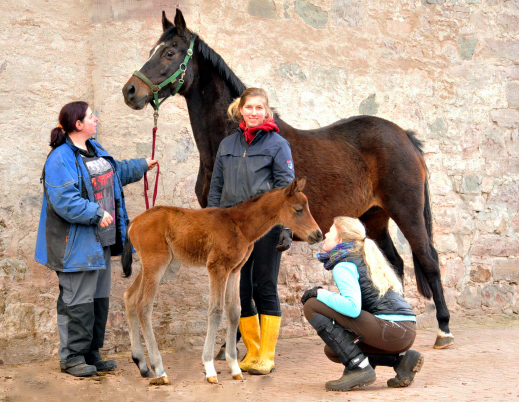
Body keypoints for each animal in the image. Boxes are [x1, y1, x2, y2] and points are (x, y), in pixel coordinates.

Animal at [123, 8, 456, 348]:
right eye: (151, 50)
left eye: (169, 52)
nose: (130, 91)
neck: (238, 139)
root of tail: (405, 137)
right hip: (374, 217)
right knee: (394, 263)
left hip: (406, 211)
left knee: (428, 260)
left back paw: (443, 329)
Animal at [123, 177, 322, 384]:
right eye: (298, 209)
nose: (318, 234)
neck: (240, 226)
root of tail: (133, 222)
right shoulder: (217, 267)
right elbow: (216, 311)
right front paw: (209, 368)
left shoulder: (235, 270)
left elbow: (234, 311)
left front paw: (234, 367)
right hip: (156, 263)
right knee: (143, 305)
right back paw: (159, 369)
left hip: (154, 266)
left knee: (129, 297)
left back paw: (142, 365)